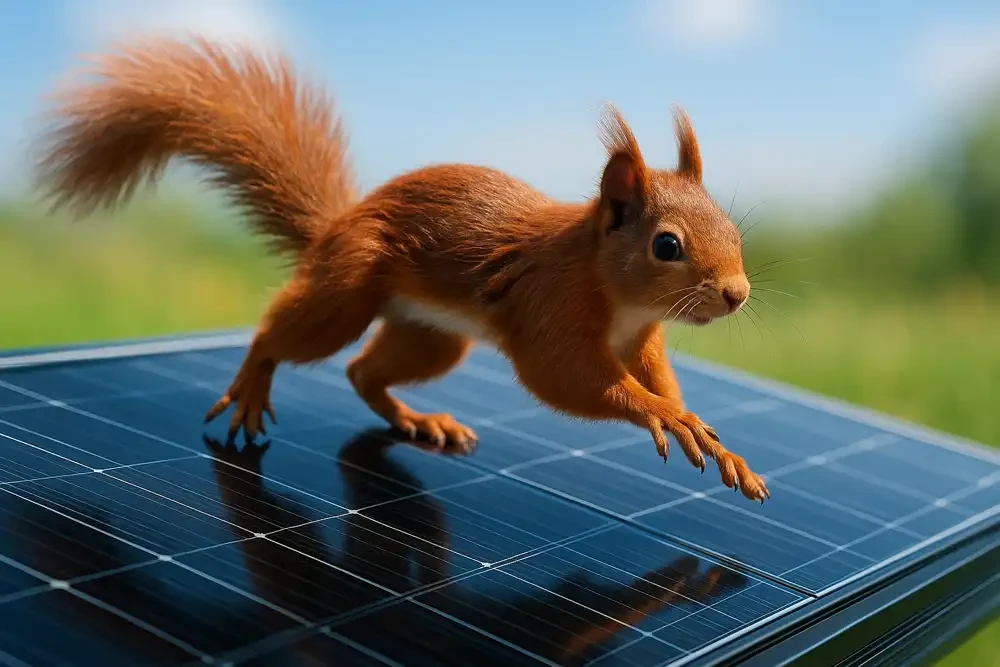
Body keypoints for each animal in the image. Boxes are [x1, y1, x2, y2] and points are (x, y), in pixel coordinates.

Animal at [32, 36, 769, 503]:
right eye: (666, 246)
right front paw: (661, 415)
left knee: (364, 371)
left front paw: (711, 437)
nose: (736, 294)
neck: (611, 287)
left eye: (733, 230)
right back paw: (252, 386)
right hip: (346, 292)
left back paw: (419, 420)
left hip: (431, 335)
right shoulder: (549, 309)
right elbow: (570, 380)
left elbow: (659, 378)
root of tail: (334, 227)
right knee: (281, 333)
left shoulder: (640, 339)